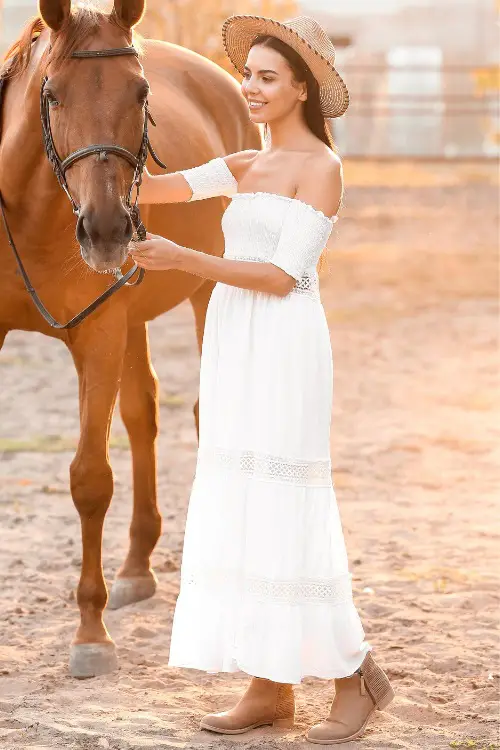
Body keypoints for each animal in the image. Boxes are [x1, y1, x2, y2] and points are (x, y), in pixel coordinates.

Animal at [0, 0, 262, 680]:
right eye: (53, 94)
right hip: (136, 318)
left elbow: (91, 478)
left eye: (141, 93)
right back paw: (137, 567)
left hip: (204, 291)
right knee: (144, 413)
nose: (107, 230)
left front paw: (90, 635)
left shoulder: (98, 333)